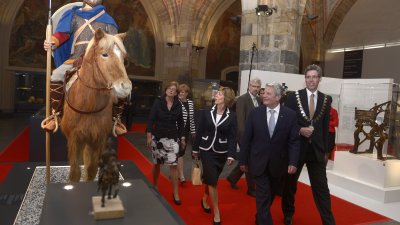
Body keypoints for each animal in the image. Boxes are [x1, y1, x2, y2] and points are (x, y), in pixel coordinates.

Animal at [60, 28, 131, 183]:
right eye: (104, 54)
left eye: (123, 58)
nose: (126, 87)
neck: (89, 106)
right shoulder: (74, 139)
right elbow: (74, 173)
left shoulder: (99, 139)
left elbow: (91, 170)